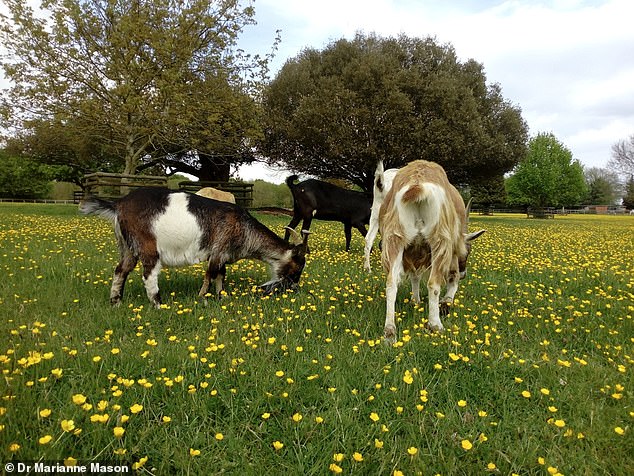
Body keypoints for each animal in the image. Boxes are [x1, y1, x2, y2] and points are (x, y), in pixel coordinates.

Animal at [80, 188, 308, 306]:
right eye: (296, 268)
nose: (293, 288)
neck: (244, 227)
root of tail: (118, 205)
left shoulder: (221, 255)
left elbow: (220, 275)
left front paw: (220, 296)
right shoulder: (218, 250)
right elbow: (210, 274)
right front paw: (202, 298)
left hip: (126, 246)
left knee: (121, 270)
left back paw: (116, 302)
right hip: (147, 245)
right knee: (149, 274)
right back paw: (159, 304)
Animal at [378, 162, 482, 340]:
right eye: (467, 252)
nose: (464, 273)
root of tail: (417, 184)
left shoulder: (413, 250)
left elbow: (415, 276)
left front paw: (416, 300)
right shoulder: (450, 249)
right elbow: (451, 278)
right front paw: (446, 303)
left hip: (395, 238)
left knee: (391, 282)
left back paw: (389, 332)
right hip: (439, 240)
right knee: (434, 283)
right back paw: (435, 325)